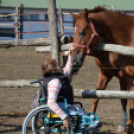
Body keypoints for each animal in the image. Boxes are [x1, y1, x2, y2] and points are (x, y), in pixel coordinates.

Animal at [69, 6, 134, 134]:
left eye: (82, 32)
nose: (74, 59)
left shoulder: (123, 76)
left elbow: (124, 99)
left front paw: (123, 124)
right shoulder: (105, 74)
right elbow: (96, 96)